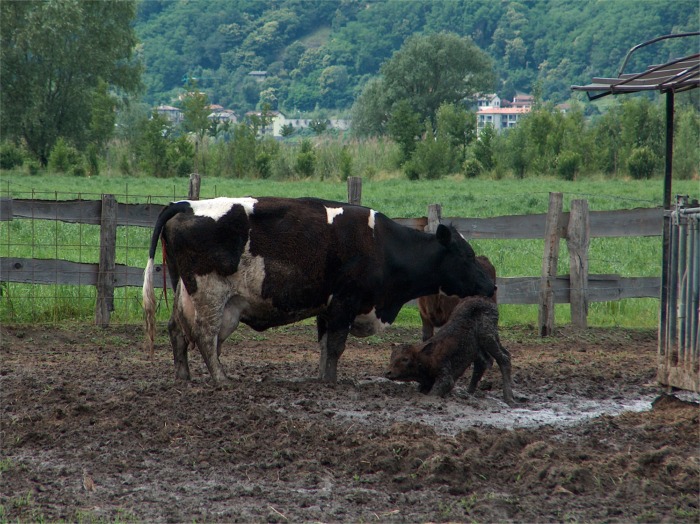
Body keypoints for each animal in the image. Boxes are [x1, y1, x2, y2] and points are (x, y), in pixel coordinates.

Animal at [142, 196, 494, 384]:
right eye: (466, 255)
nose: (490, 285)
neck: (383, 246)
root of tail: (186, 204)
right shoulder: (344, 303)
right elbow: (336, 347)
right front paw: (333, 381)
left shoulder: (327, 308)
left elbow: (325, 347)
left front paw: (322, 378)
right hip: (210, 295)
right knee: (205, 336)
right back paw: (221, 379)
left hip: (188, 292)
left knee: (177, 330)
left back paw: (184, 377)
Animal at [382, 296, 516, 404]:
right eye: (391, 356)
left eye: (405, 359)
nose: (387, 372)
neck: (428, 357)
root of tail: (486, 300)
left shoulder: (445, 376)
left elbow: (436, 391)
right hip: (483, 344)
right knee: (487, 360)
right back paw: (469, 393)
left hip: (487, 337)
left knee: (503, 358)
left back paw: (509, 398)